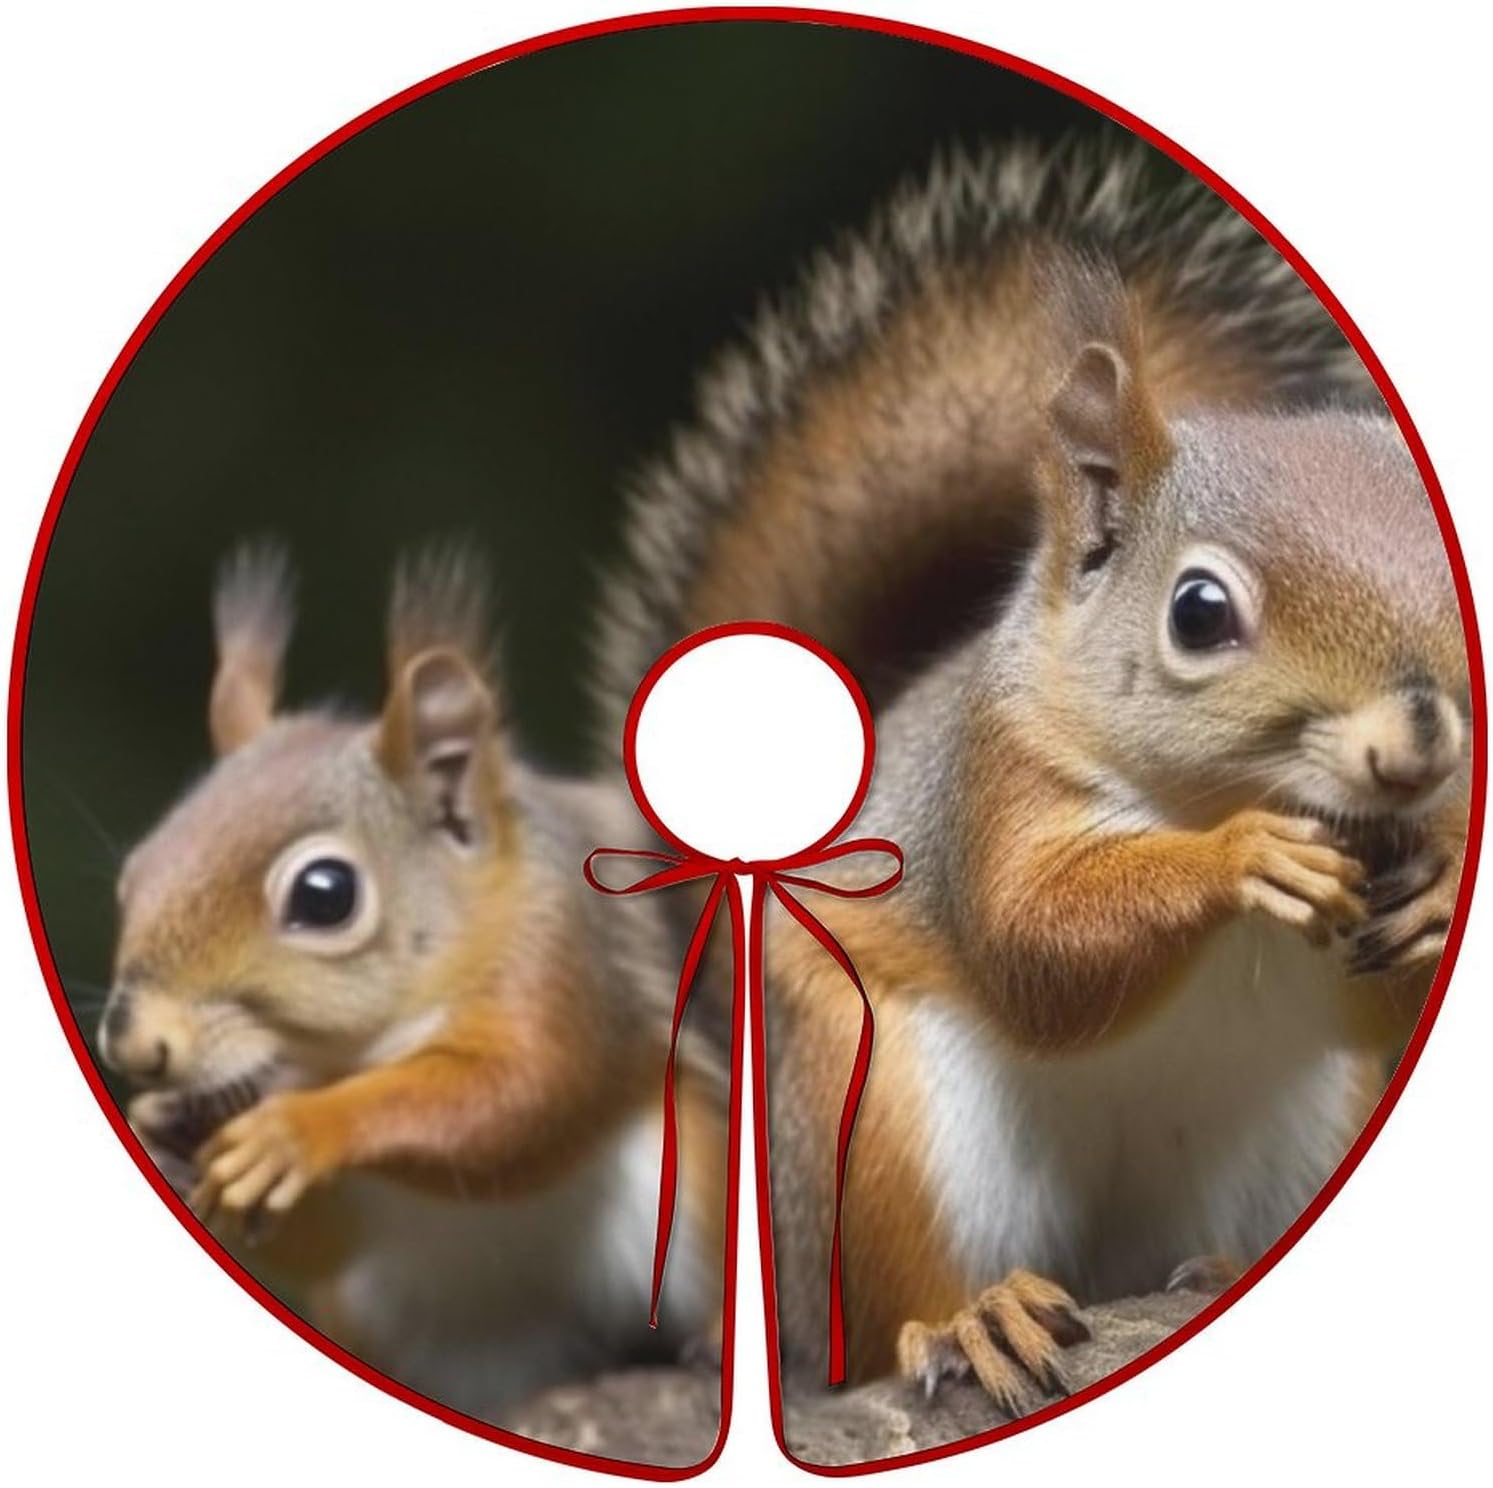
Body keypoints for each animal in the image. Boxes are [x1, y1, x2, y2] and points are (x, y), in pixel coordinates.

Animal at [97, 544, 725, 1420]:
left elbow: (522, 1095)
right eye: (135, 874)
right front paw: (164, 1130)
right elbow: (313, 1232)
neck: (361, 1049)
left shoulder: (564, 964)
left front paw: (299, 1129)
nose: (133, 1046)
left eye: (325, 896)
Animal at [595, 136, 1472, 1409]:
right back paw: (973, 1321)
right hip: (878, 1117)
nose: (1415, 741)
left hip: (1304, 1120)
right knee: (882, 1317)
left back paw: (1216, 1265)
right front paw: (1239, 856)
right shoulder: (989, 786)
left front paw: (1440, 884)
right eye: (1197, 612)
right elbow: (1034, 945)